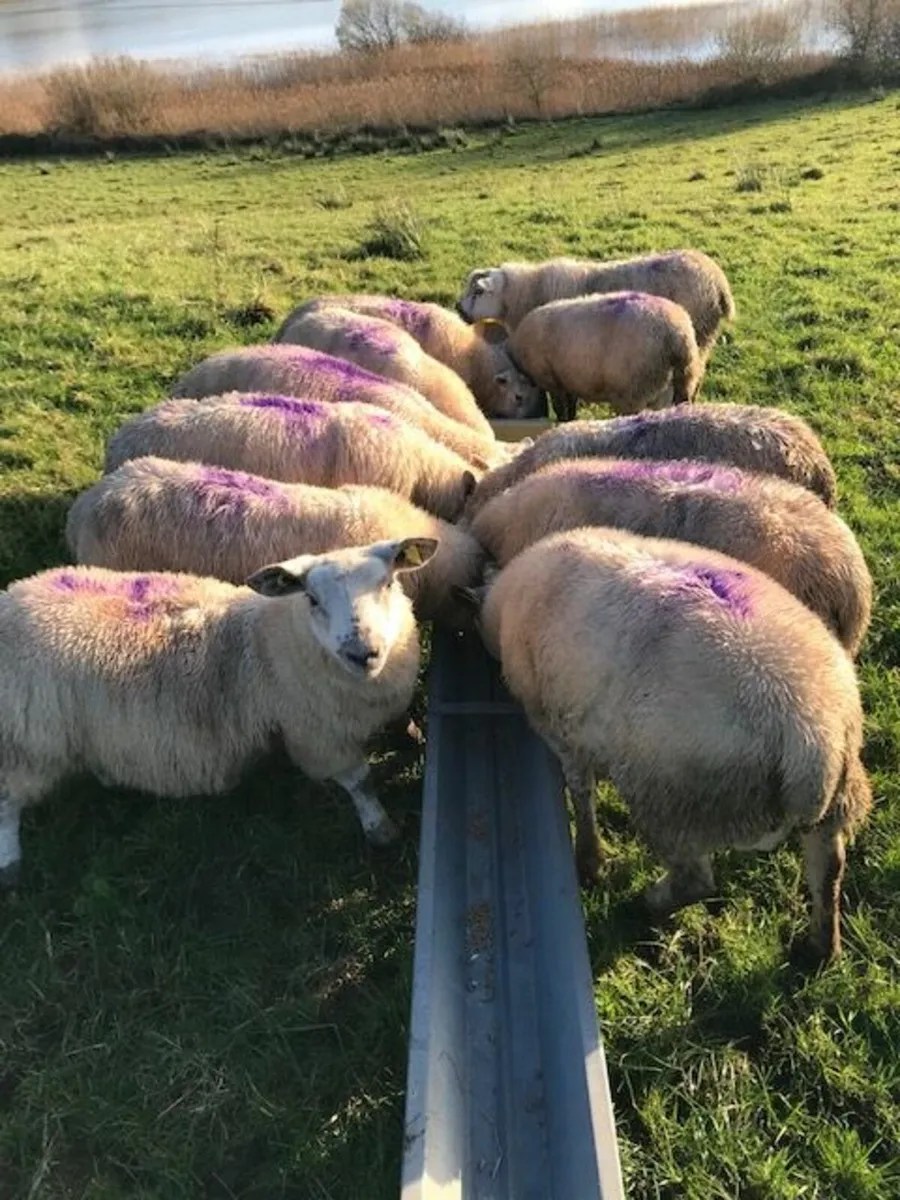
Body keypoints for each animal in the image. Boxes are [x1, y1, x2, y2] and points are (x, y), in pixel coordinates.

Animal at [0, 537, 440, 885]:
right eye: (312, 599)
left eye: (388, 583)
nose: (362, 653)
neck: (272, 638)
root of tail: (12, 597)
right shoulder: (318, 736)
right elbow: (360, 782)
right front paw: (380, 828)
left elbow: (401, 722)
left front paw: (412, 736)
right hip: (26, 742)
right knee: (8, 801)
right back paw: (10, 864)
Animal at [458, 527, 870, 961]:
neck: (503, 600)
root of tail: (810, 743)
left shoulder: (560, 731)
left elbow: (582, 795)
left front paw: (589, 861)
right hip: (837, 799)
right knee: (829, 867)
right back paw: (820, 948)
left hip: (674, 803)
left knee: (695, 881)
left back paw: (643, 906)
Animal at [504, 292, 703, 421]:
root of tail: (677, 335)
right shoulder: (568, 379)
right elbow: (571, 407)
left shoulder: (551, 380)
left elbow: (562, 410)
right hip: (682, 384)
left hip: (633, 389)